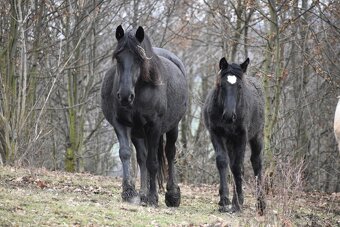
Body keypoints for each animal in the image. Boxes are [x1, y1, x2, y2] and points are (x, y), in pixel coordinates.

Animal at [101, 25, 187, 207]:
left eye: (139, 59)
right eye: (118, 57)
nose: (125, 96)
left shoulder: (154, 127)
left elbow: (153, 162)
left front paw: (154, 198)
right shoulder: (121, 124)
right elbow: (126, 153)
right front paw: (129, 193)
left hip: (172, 128)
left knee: (170, 153)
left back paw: (172, 195)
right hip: (138, 133)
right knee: (142, 157)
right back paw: (143, 194)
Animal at [202, 56, 266, 215]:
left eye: (240, 86)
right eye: (221, 85)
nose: (229, 116)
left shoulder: (241, 137)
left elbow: (238, 167)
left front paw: (237, 204)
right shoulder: (216, 134)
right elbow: (222, 162)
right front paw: (224, 200)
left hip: (256, 137)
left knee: (256, 163)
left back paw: (261, 204)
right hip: (230, 141)